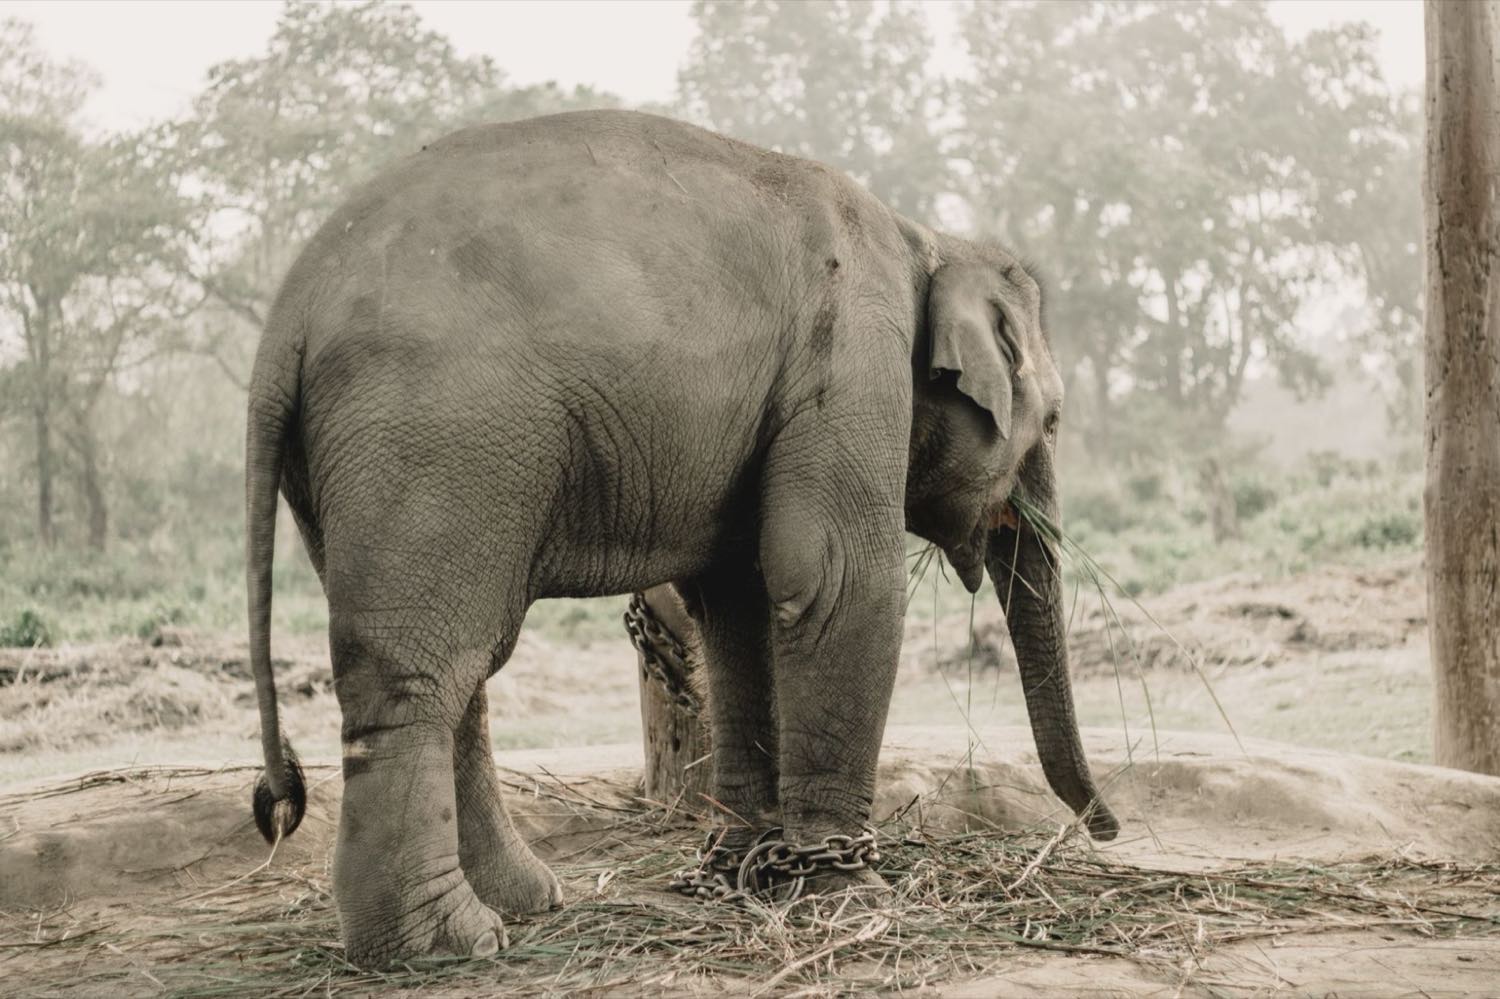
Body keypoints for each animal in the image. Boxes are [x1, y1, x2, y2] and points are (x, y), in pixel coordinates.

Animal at [245, 109, 1119, 967]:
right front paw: (849, 893)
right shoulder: (852, 355)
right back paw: (444, 945)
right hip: (435, 435)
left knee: (460, 669)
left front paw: (743, 869)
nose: (1105, 829)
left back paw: (523, 902)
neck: (926, 238)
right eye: (1053, 421)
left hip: (355, 469)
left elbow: (738, 600)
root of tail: (288, 312)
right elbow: (836, 580)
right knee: (420, 671)